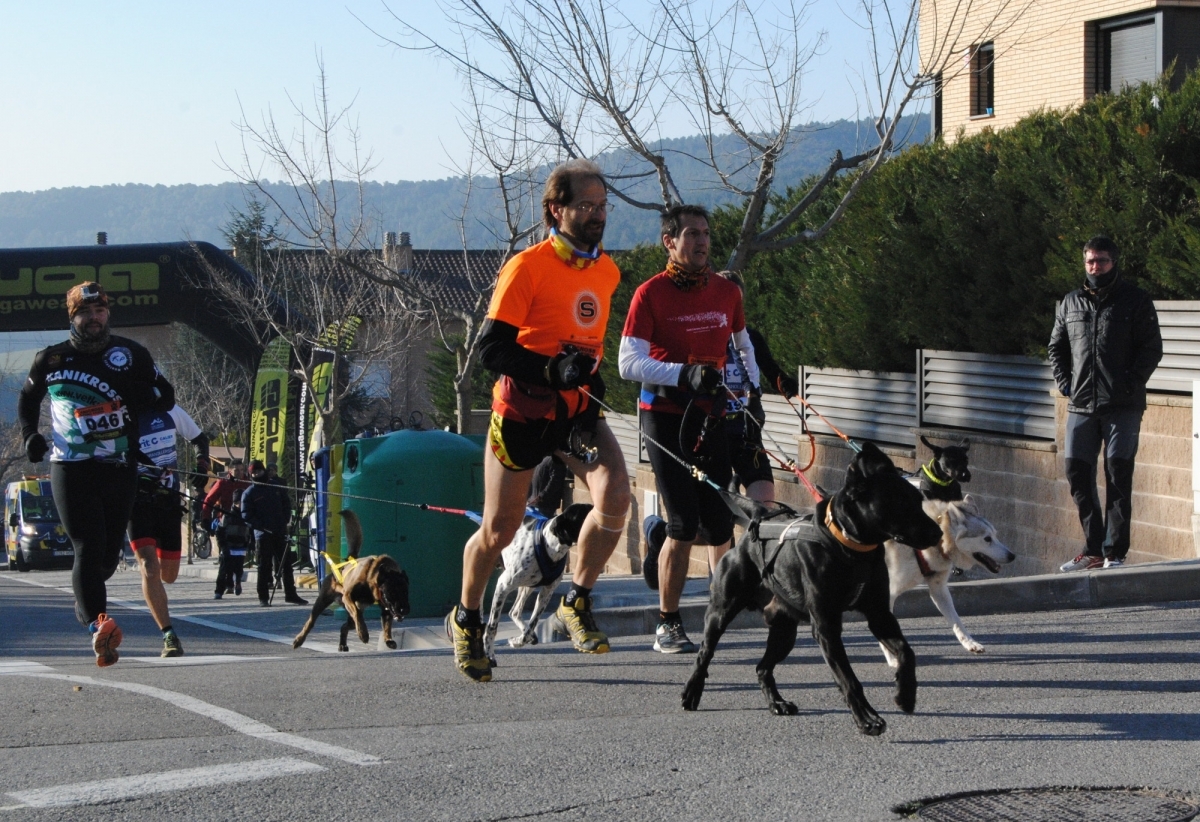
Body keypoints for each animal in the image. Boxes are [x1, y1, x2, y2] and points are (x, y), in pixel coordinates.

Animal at [292, 506, 410, 652]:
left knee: (345, 626)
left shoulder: (386, 608)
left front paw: (388, 639)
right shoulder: (348, 597)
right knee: (311, 622)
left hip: (349, 614)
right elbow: (358, 615)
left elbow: (387, 625)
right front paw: (363, 633)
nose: (405, 610)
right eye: (392, 593)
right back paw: (299, 639)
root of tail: (348, 560)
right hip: (323, 602)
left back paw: (343, 644)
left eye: (405, 592)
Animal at [477, 499, 590, 667]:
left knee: (515, 611)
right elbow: (492, 627)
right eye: (585, 514)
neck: (549, 545)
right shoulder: (502, 586)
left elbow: (532, 624)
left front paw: (519, 640)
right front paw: (489, 654)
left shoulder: (546, 592)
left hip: (528, 586)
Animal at [681, 446, 940, 734]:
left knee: (762, 668)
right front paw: (867, 718)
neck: (851, 549)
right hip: (721, 611)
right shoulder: (827, 626)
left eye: (918, 500)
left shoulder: (880, 615)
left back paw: (778, 703)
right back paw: (692, 692)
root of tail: (758, 519)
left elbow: (907, 653)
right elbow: (849, 679)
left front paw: (905, 695)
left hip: (784, 631)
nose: (938, 533)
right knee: (705, 653)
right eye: (901, 502)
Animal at [883, 494, 1012, 662]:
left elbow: (957, 622)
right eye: (987, 539)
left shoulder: (939, 588)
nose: (1012, 556)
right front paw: (892, 659)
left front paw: (971, 644)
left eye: (995, 535)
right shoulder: (887, 594)